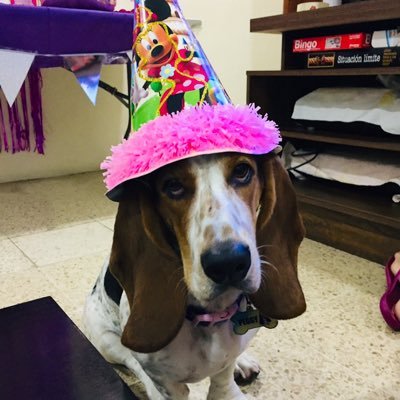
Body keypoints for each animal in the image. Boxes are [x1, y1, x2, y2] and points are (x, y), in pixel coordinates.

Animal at [83, 152, 304, 398]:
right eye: (173, 186)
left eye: (241, 171)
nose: (227, 263)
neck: (210, 317)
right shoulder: (164, 380)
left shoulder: (226, 360)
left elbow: (223, 378)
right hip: (107, 341)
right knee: (131, 360)